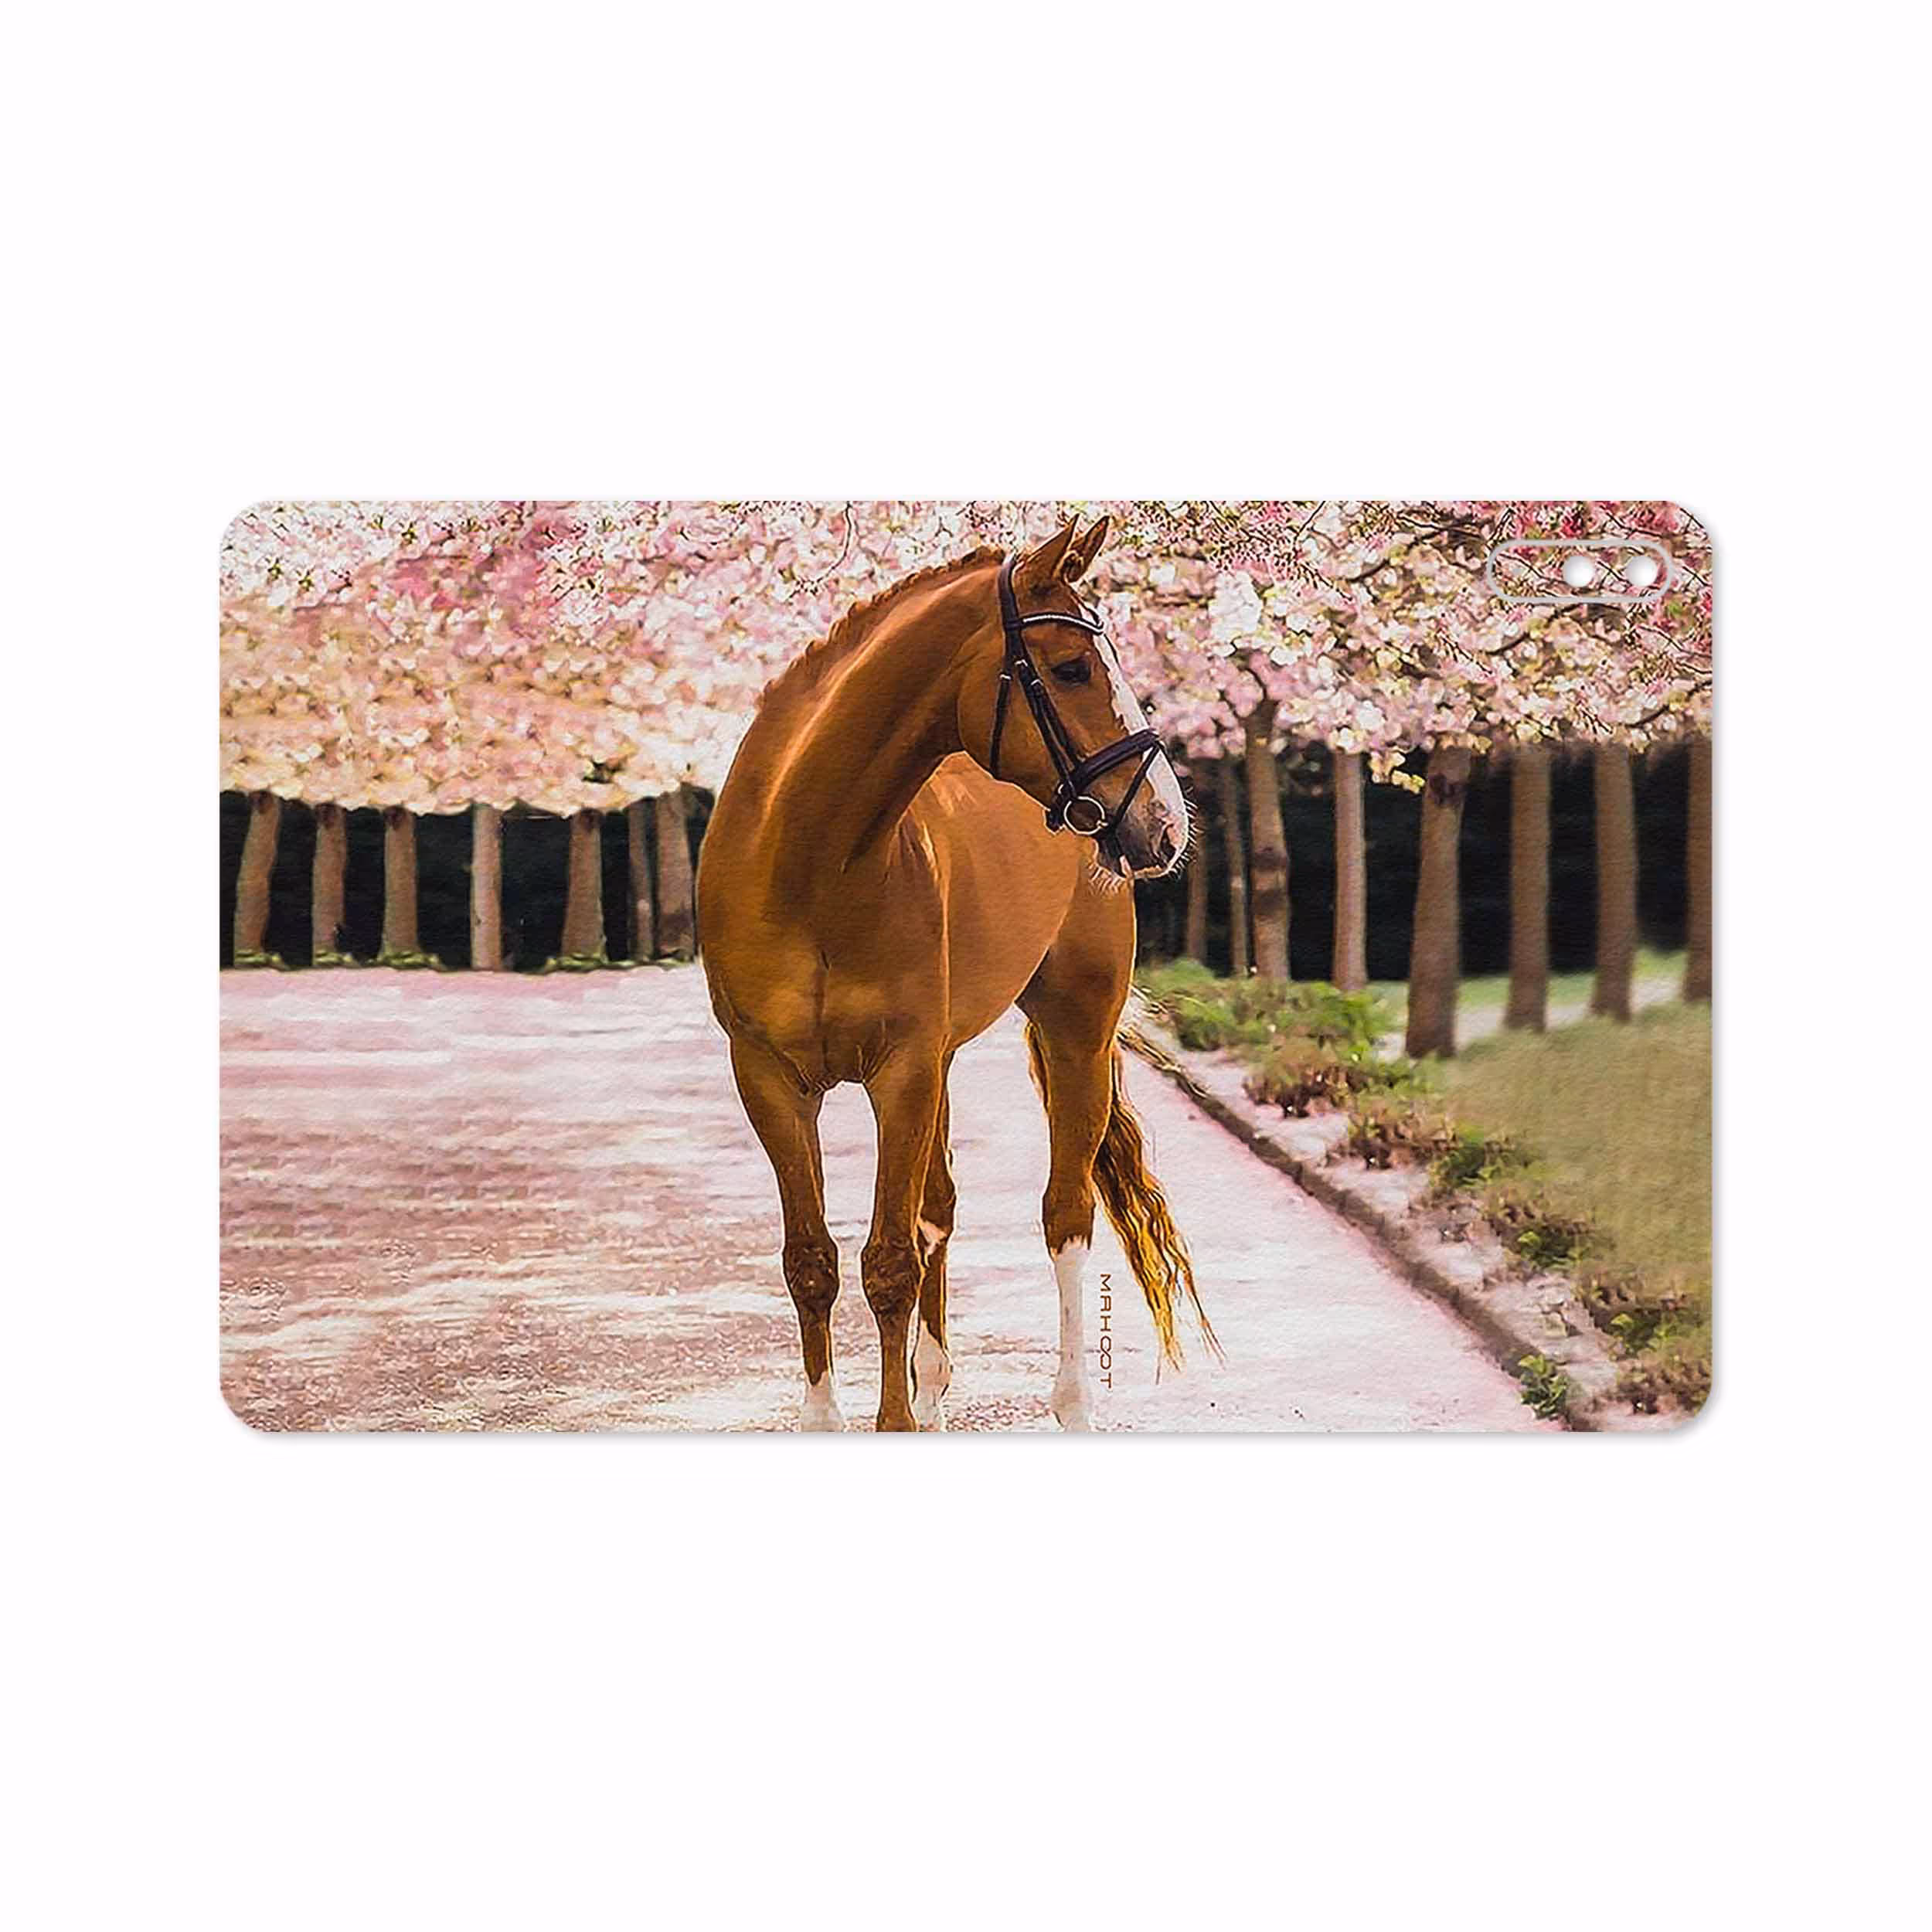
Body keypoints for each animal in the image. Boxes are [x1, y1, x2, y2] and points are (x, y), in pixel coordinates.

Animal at [697, 515, 1215, 1430]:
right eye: (1072, 667)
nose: (1163, 823)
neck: (807, 863)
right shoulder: (768, 1077)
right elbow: (812, 1260)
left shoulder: (900, 1072)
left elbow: (889, 1261)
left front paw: (894, 1420)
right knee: (938, 1208)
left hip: (1075, 1037)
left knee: (1064, 1216)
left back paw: (1071, 1402)